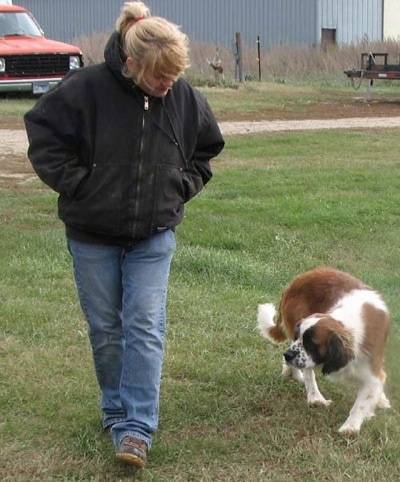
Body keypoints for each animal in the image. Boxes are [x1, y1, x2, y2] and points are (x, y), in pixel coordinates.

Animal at [256, 266, 390, 434]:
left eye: (311, 343)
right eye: (299, 337)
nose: (287, 354)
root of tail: (297, 280)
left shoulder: (372, 369)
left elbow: (363, 400)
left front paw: (352, 424)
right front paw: (350, 427)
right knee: (308, 372)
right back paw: (314, 396)